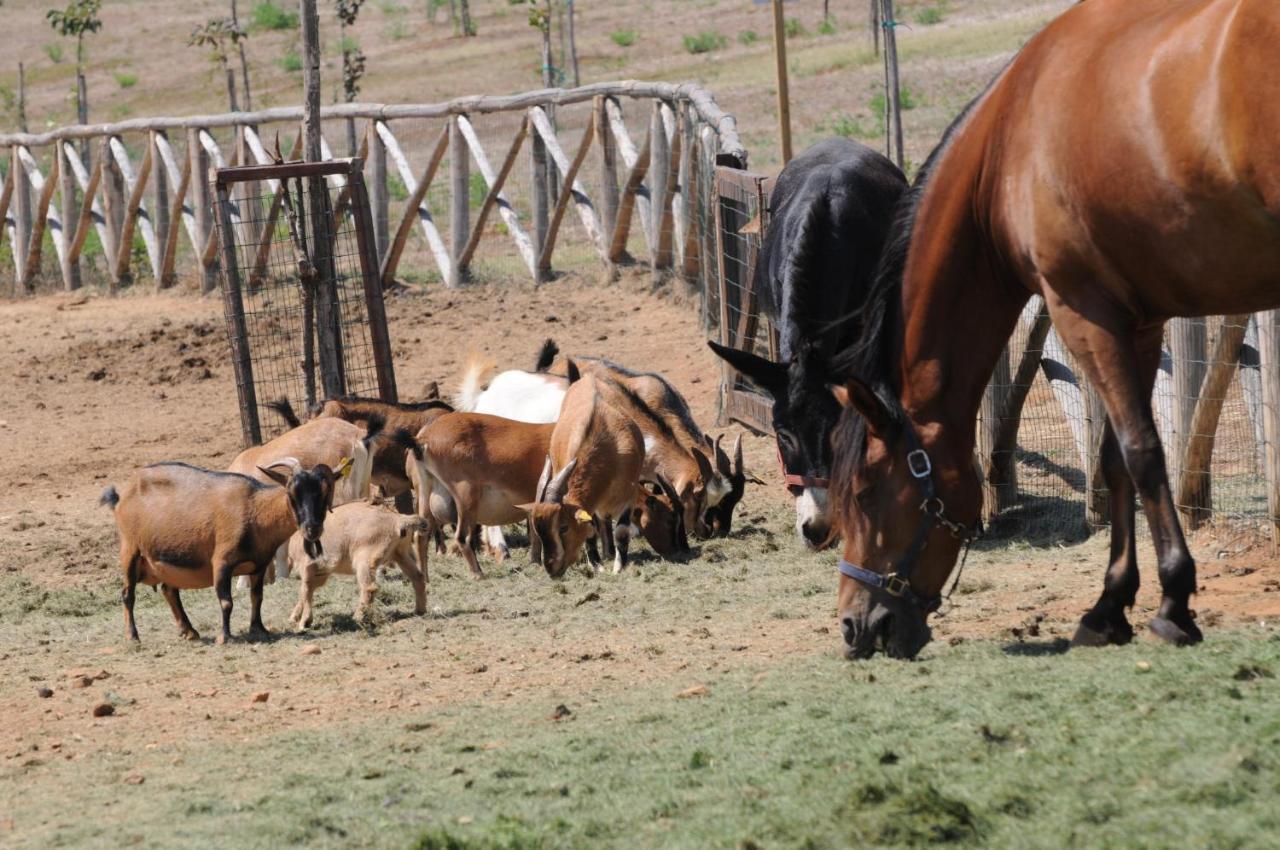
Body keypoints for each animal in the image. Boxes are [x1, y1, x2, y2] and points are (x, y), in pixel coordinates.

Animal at [101, 458, 350, 645]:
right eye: (292, 493)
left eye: (324, 492)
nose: (312, 528)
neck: (255, 510)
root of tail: (122, 495)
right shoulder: (221, 561)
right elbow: (226, 600)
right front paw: (225, 636)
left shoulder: (259, 565)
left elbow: (257, 597)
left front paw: (258, 629)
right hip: (130, 549)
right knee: (127, 593)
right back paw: (133, 636)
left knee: (168, 590)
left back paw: (189, 631)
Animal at [824, 0, 1280, 660]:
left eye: (861, 493)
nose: (855, 627)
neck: (1006, 147)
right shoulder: (1137, 324)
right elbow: (1114, 460)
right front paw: (1110, 606)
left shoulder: (1080, 311)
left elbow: (1142, 452)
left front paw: (1173, 604)